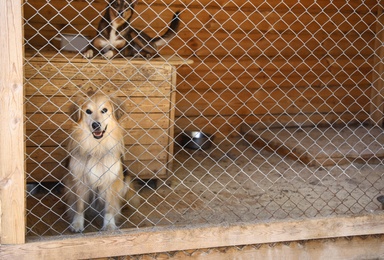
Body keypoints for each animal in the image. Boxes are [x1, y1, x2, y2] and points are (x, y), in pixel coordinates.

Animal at [63, 91, 135, 232]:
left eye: (104, 110)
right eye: (88, 111)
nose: (96, 125)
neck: (97, 147)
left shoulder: (111, 179)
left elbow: (109, 207)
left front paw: (109, 224)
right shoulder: (79, 180)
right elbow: (79, 206)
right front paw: (77, 223)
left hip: (126, 180)